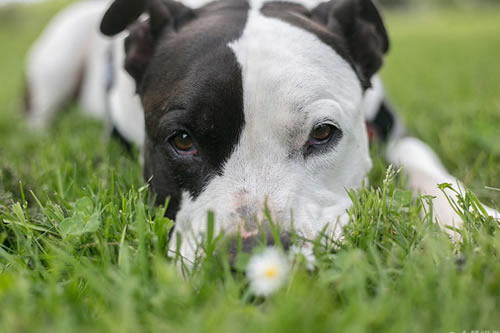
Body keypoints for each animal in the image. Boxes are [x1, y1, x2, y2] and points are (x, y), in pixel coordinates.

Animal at [24, 0, 500, 262]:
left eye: (322, 134)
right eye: (182, 140)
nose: (250, 255)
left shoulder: (392, 128)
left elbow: (419, 157)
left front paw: (467, 219)